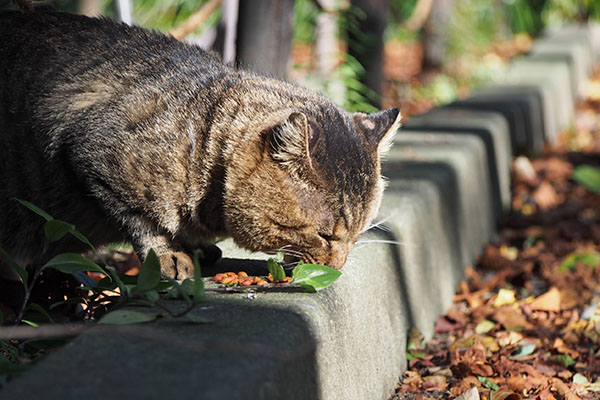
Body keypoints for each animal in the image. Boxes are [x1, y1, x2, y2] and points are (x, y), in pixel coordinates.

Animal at [1, 7, 404, 282]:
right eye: (325, 235)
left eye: (358, 234)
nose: (339, 266)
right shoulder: (92, 155)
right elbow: (143, 221)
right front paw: (169, 255)